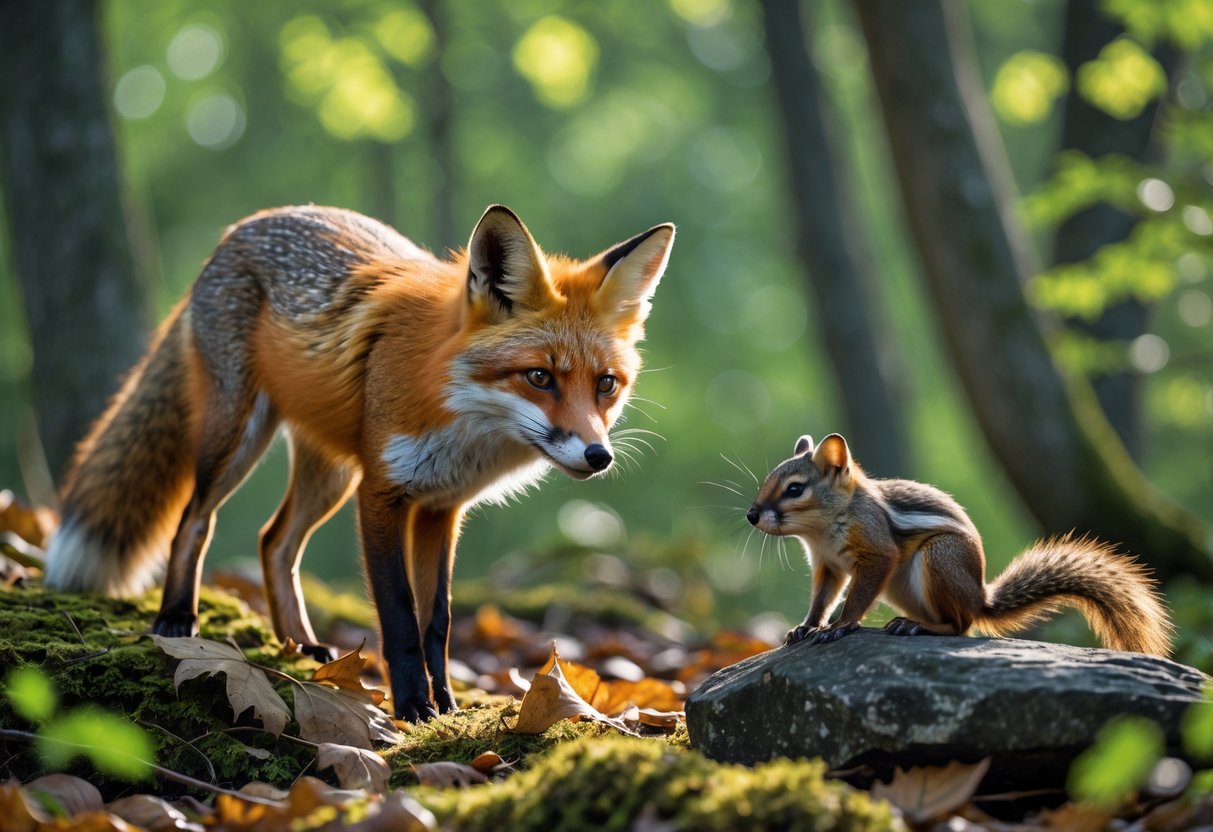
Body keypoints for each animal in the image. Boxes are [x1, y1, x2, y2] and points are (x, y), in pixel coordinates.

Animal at [43, 204, 675, 721]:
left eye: (606, 385)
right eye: (540, 377)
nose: (598, 455)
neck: (460, 421)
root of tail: (237, 230)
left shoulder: (441, 509)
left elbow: (437, 621)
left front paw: (446, 704)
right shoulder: (382, 493)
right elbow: (399, 616)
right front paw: (413, 707)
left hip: (330, 474)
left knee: (275, 542)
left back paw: (300, 644)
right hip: (240, 439)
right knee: (194, 522)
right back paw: (177, 616)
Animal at [745, 433, 1173, 656]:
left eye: (795, 489)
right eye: (767, 481)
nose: (752, 514)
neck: (820, 530)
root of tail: (979, 596)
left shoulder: (876, 552)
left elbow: (857, 595)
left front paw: (840, 626)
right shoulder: (828, 565)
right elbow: (821, 598)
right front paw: (805, 628)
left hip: (938, 559)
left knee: (960, 627)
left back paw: (919, 628)